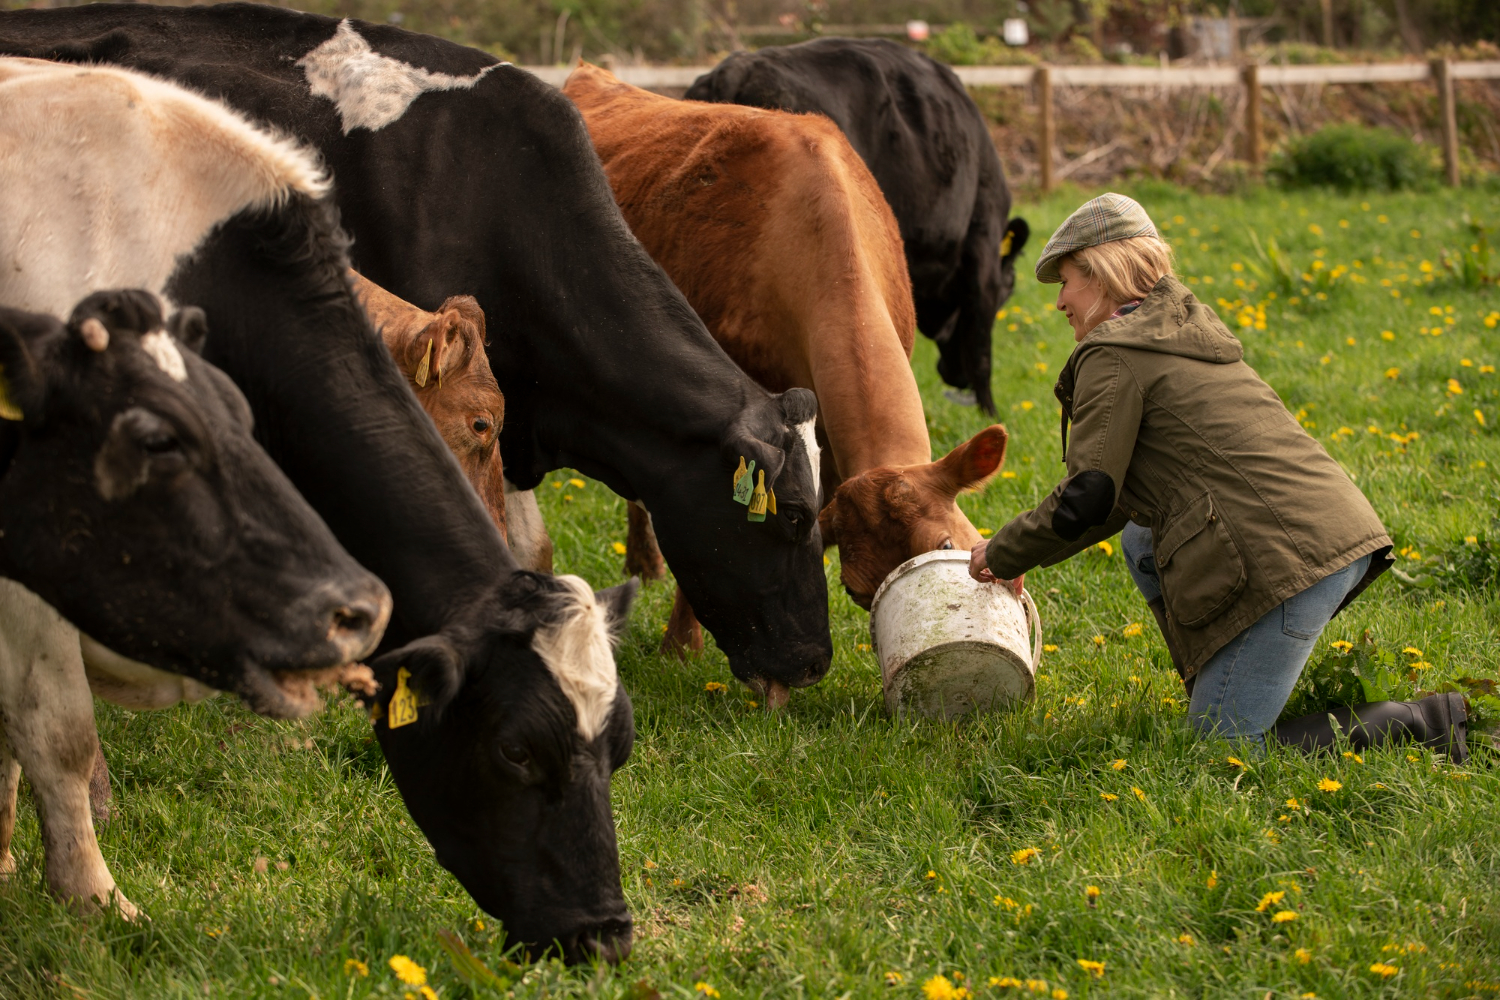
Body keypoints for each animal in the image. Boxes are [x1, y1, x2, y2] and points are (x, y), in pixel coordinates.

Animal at [685, 38, 1031, 416]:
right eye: (1008, 290)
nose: (955, 376)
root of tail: (735, 69)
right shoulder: (982, 246)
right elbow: (981, 348)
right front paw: (991, 414)